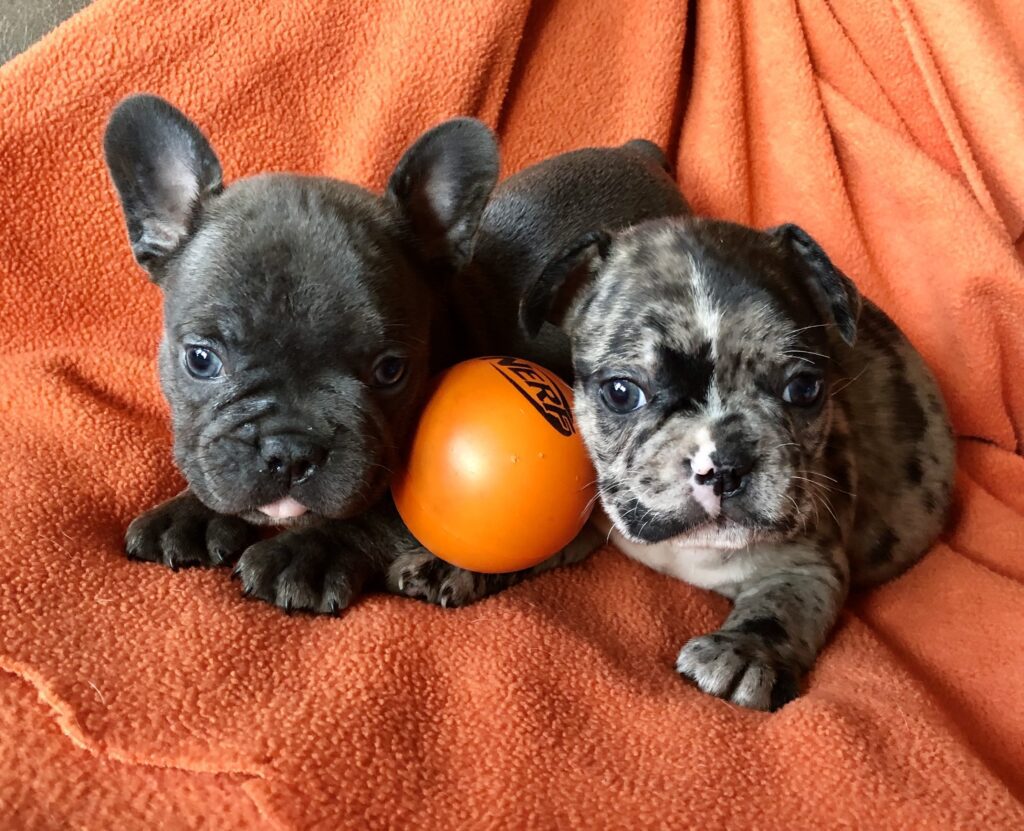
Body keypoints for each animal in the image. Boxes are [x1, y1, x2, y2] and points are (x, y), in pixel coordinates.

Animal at [103, 97, 688, 614]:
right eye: (201, 360)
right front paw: (191, 513)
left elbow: (379, 510)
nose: (290, 450)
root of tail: (640, 155)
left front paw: (309, 552)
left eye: (390, 371)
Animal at [524, 213, 954, 708]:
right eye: (620, 392)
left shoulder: (808, 566)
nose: (724, 465)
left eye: (804, 388)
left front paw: (744, 652)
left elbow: (780, 607)